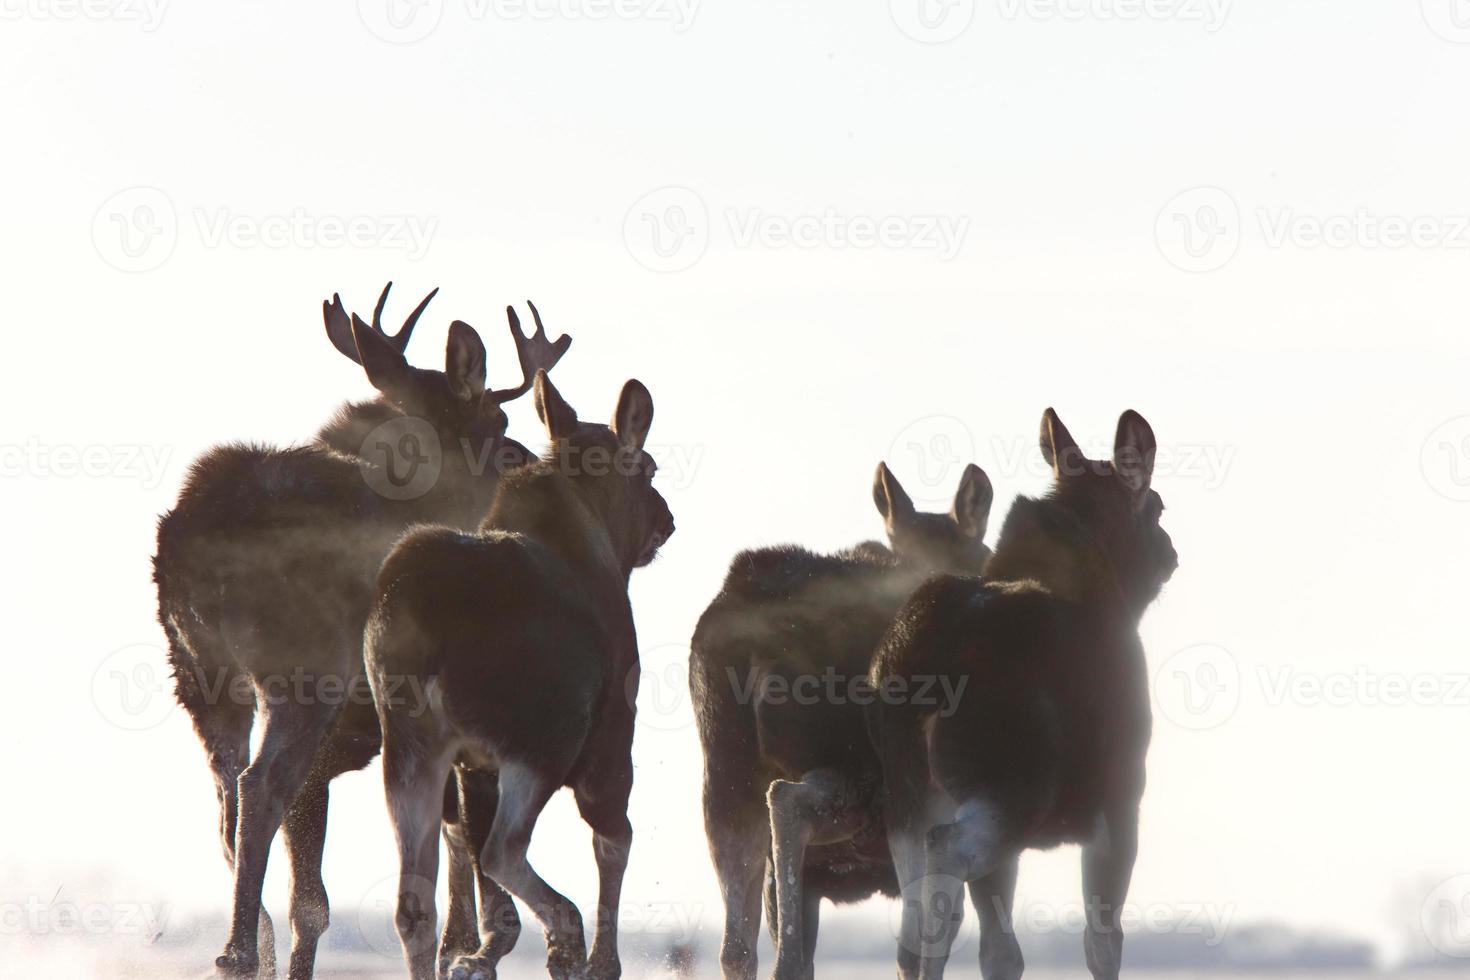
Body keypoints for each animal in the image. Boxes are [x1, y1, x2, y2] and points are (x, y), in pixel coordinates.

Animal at [149, 287, 561, 975]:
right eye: (499, 426)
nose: (533, 470)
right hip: (300, 676)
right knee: (260, 790)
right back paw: (238, 950)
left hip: (202, 678)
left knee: (227, 805)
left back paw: (246, 943)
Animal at [364, 367, 673, 980]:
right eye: (648, 467)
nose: (668, 519)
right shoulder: (611, 735)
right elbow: (614, 839)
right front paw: (599, 959)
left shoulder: (472, 763)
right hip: (541, 741)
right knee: (503, 849)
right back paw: (566, 931)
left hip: (411, 747)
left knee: (415, 900)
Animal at [864, 411, 1176, 980]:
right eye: (1157, 505)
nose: (1169, 550)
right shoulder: (1122, 799)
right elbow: (1103, 943)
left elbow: (1001, 952)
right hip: (1014, 787)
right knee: (945, 864)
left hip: (906, 796)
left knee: (912, 921)